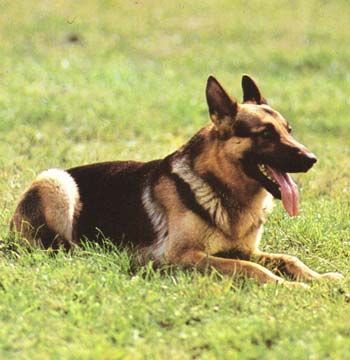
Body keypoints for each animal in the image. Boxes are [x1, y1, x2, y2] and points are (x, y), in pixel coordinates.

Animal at [10, 76, 342, 286]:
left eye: (289, 130)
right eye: (266, 134)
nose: (312, 159)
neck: (223, 190)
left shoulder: (243, 249)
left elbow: (289, 259)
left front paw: (322, 279)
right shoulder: (184, 257)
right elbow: (251, 269)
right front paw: (290, 287)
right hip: (56, 181)